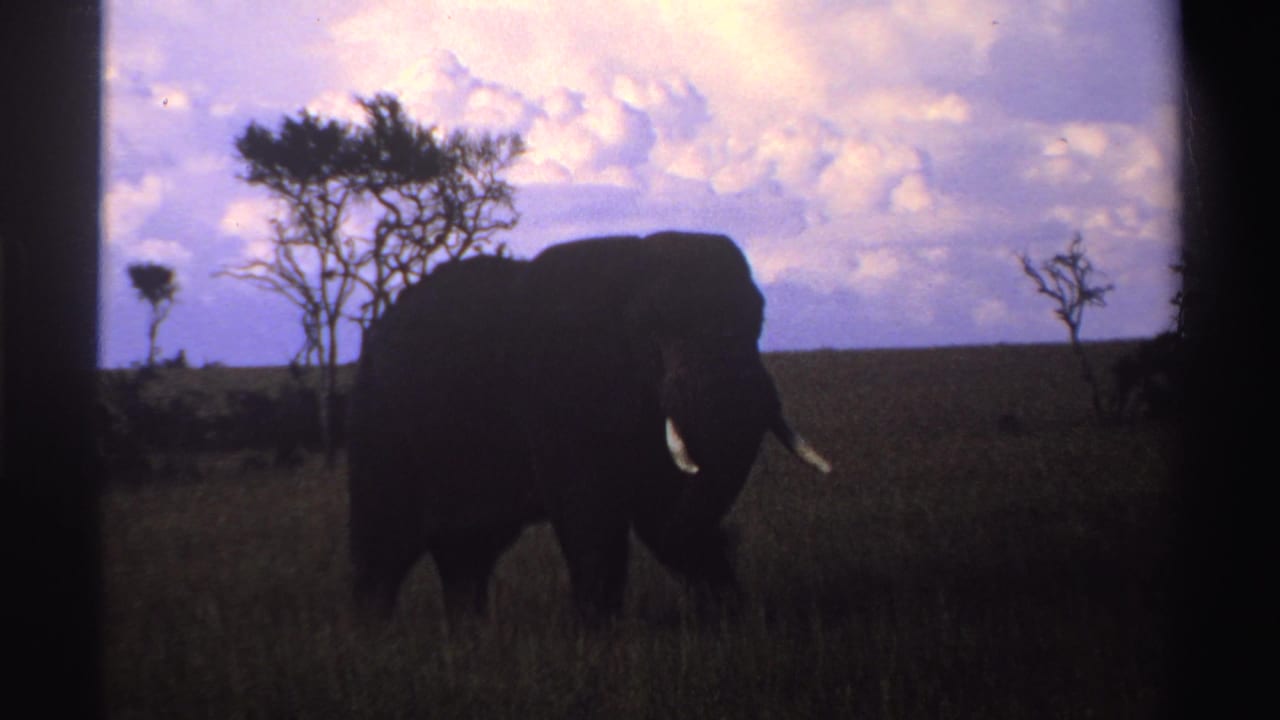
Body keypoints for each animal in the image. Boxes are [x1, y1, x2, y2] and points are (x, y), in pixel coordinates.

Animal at [347, 231, 831, 623]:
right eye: (657, 331)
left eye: (759, 321)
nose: (732, 538)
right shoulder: (561, 389)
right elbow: (591, 514)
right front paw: (597, 638)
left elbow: (661, 506)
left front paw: (731, 619)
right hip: (380, 424)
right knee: (385, 546)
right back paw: (372, 639)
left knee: (467, 552)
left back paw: (469, 635)